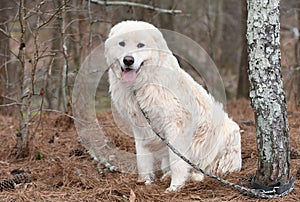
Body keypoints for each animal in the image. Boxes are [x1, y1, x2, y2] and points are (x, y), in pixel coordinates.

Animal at [105, 20, 241, 191]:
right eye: (121, 43)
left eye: (141, 45)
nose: (128, 60)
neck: (141, 85)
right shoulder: (140, 127)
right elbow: (142, 159)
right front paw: (144, 182)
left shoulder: (175, 125)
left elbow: (177, 162)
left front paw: (175, 187)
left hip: (226, 134)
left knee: (206, 168)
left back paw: (194, 176)